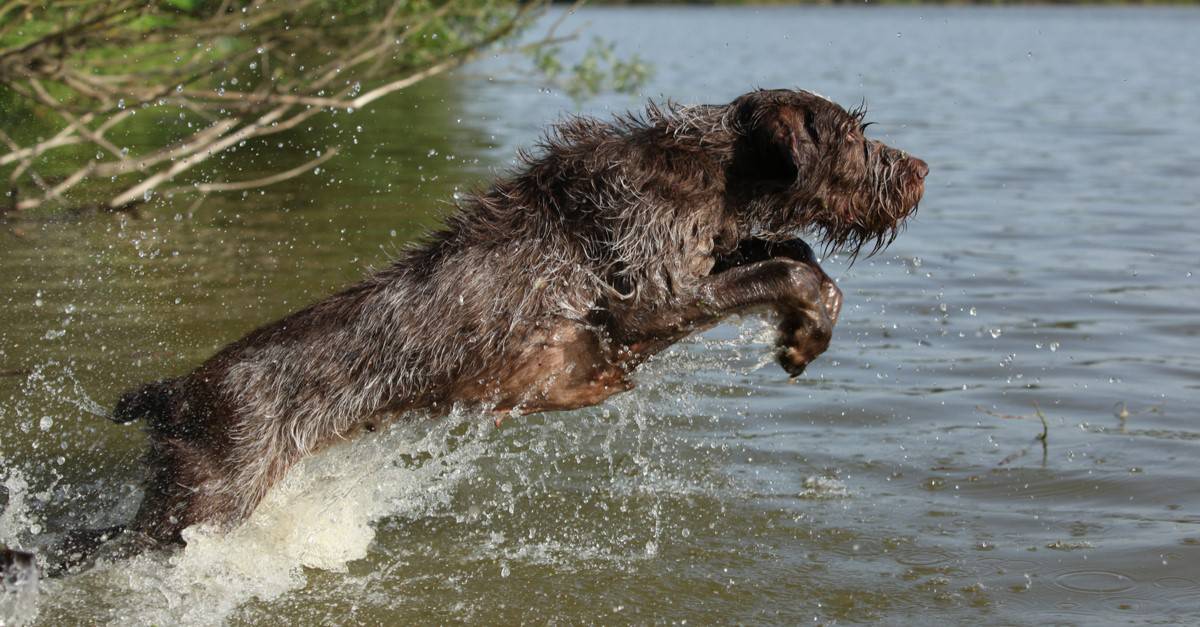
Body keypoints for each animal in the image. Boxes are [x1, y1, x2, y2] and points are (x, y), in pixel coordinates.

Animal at [37, 88, 921, 571]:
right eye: (856, 135)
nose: (919, 172)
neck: (716, 167)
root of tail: (172, 393)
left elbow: (790, 249)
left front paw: (803, 321)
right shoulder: (649, 301)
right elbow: (791, 268)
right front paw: (807, 326)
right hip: (202, 506)